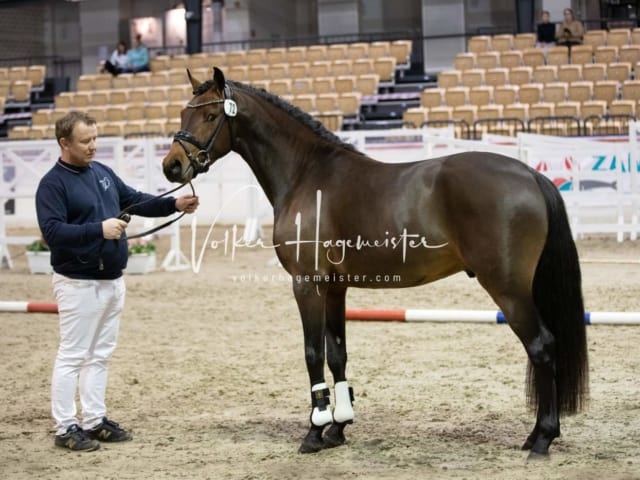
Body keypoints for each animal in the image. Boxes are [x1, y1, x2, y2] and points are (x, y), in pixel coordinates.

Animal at [162, 67, 588, 458]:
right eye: (183, 113)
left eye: (211, 115)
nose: (172, 166)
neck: (307, 174)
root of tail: (530, 175)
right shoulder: (334, 288)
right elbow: (337, 354)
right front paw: (338, 428)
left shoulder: (307, 285)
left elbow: (313, 353)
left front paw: (314, 432)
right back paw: (536, 436)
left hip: (508, 289)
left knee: (542, 346)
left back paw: (542, 439)